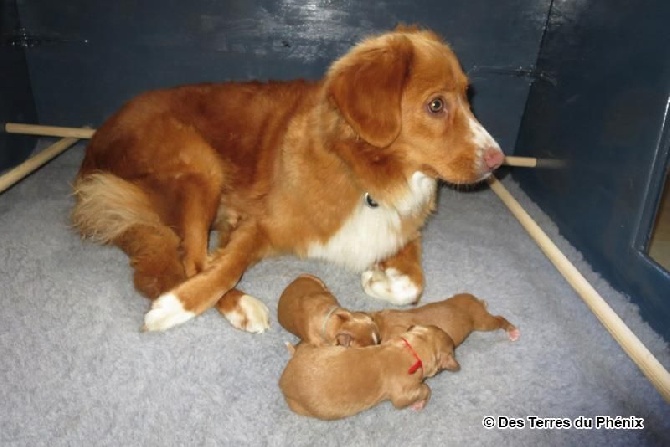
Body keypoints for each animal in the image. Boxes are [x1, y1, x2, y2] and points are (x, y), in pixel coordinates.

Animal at [72, 25, 504, 332]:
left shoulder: (402, 230)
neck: (364, 177)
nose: (498, 160)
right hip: (199, 163)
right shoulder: (262, 223)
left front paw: (379, 281)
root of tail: (95, 142)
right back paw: (235, 304)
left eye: (468, 98)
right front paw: (176, 307)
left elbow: (414, 284)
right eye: (436, 105)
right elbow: (226, 267)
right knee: (192, 259)